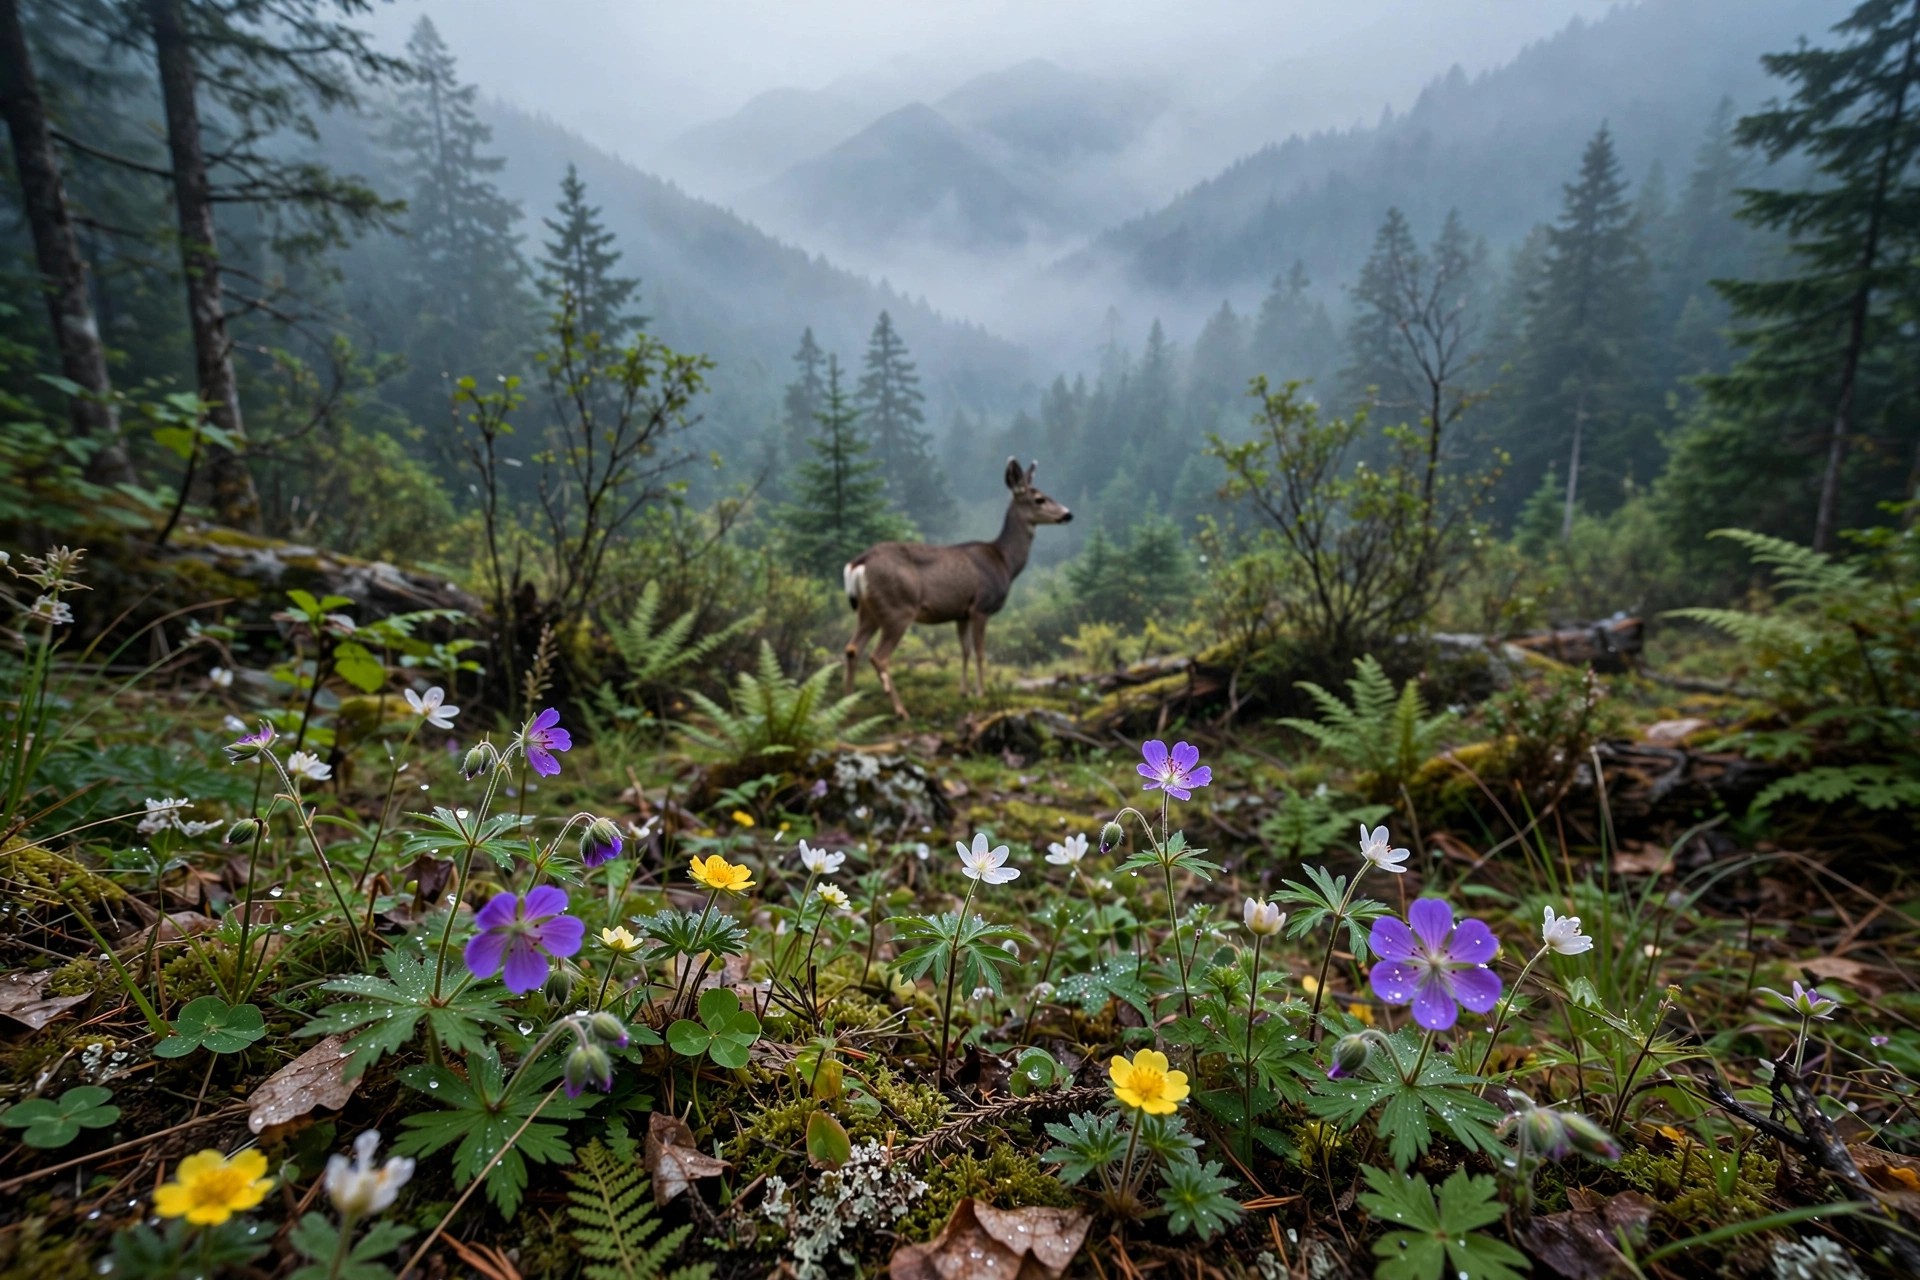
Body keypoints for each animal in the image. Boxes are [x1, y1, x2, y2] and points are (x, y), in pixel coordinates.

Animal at [843, 457, 1072, 719]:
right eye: (1039, 499)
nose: (1068, 514)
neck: (1004, 561)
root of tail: (859, 563)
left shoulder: (961, 612)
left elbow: (965, 650)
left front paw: (964, 693)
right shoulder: (981, 606)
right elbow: (981, 651)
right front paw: (981, 693)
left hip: (868, 610)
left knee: (852, 648)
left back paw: (847, 704)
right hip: (898, 608)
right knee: (879, 656)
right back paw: (901, 711)